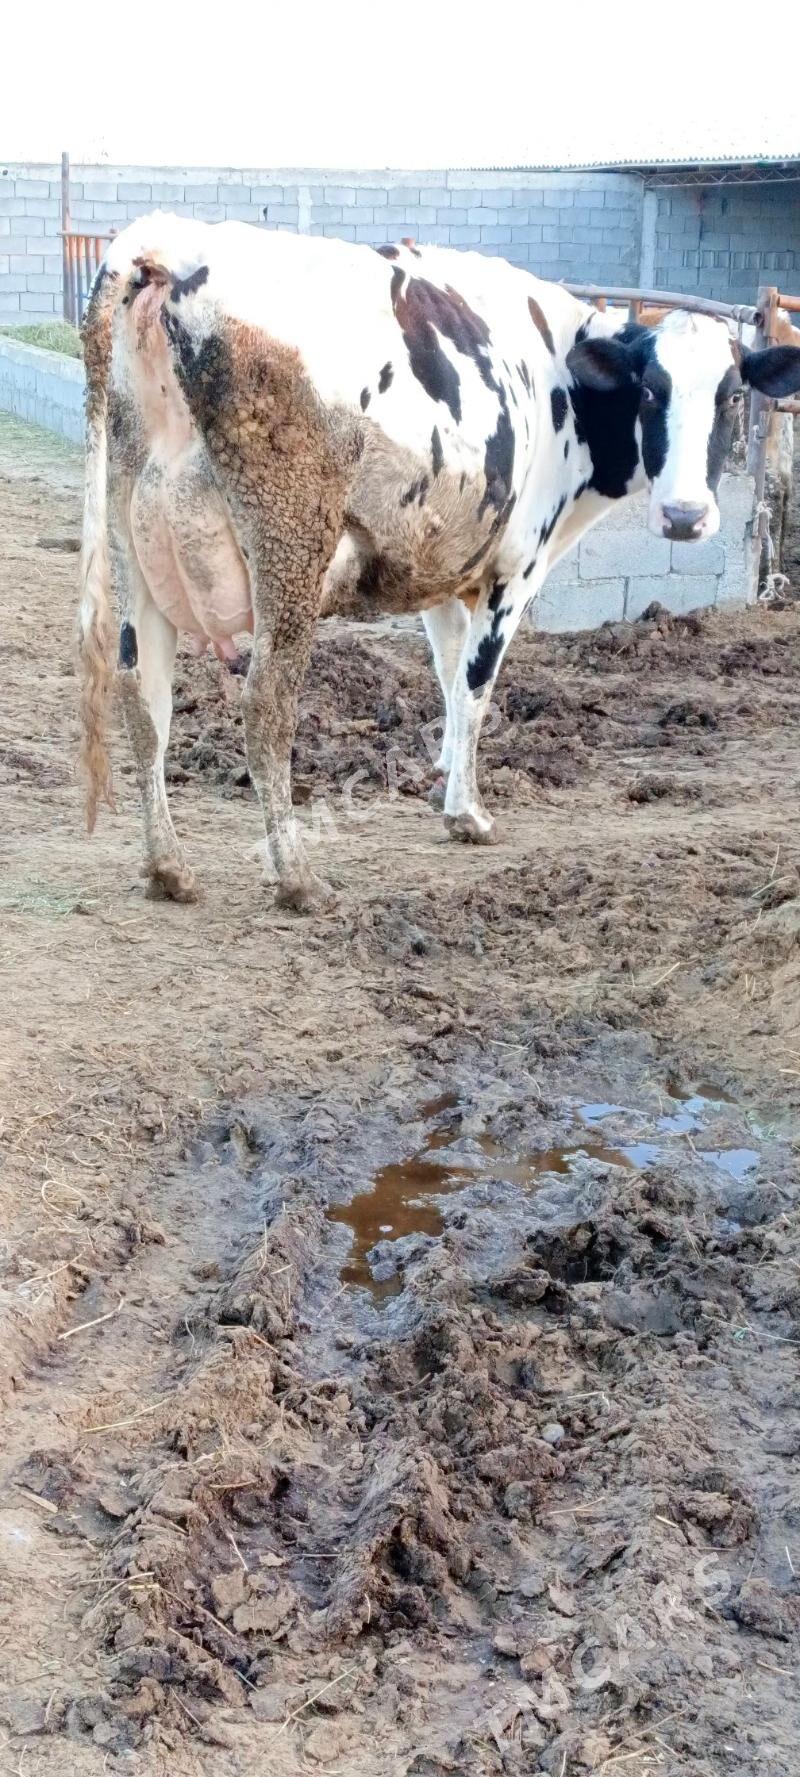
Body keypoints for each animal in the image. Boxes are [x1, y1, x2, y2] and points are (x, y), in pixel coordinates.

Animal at [78, 215, 800, 909]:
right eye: (650, 391)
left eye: (733, 395)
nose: (685, 516)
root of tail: (173, 243)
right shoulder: (515, 567)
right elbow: (476, 686)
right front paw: (467, 815)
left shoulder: (442, 572)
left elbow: (450, 678)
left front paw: (444, 786)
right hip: (290, 547)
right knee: (266, 706)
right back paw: (298, 880)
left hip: (133, 544)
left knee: (143, 701)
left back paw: (168, 869)